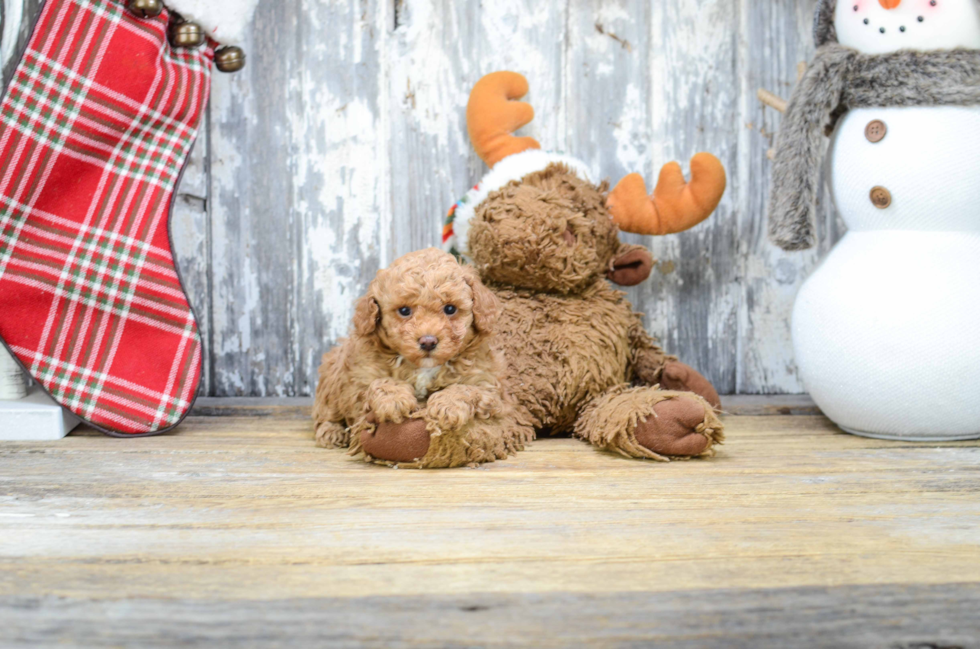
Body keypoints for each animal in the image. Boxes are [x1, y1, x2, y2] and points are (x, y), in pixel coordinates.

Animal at [312, 247, 528, 466]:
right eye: (404, 310)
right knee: (325, 411)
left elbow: (466, 388)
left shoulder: (490, 387)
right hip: (333, 372)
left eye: (450, 309)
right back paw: (332, 431)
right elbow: (380, 383)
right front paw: (394, 400)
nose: (428, 341)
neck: (424, 367)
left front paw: (447, 405)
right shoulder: (360, 380)